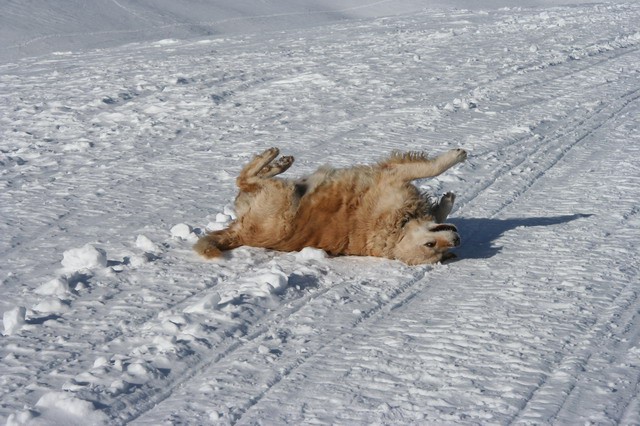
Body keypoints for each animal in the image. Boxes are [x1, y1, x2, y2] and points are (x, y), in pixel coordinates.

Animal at [192, 148, 468, 264]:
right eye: (430, 245)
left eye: (439, 250)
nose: (457, 240)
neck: (395, 226)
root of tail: (239, 232)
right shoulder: (393, 176)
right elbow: (431, 168)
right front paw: (456, 157)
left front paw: (446, 200)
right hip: (283, 200)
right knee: (245, 178)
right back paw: (275, 158)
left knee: (247, 181)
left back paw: (278, 162)